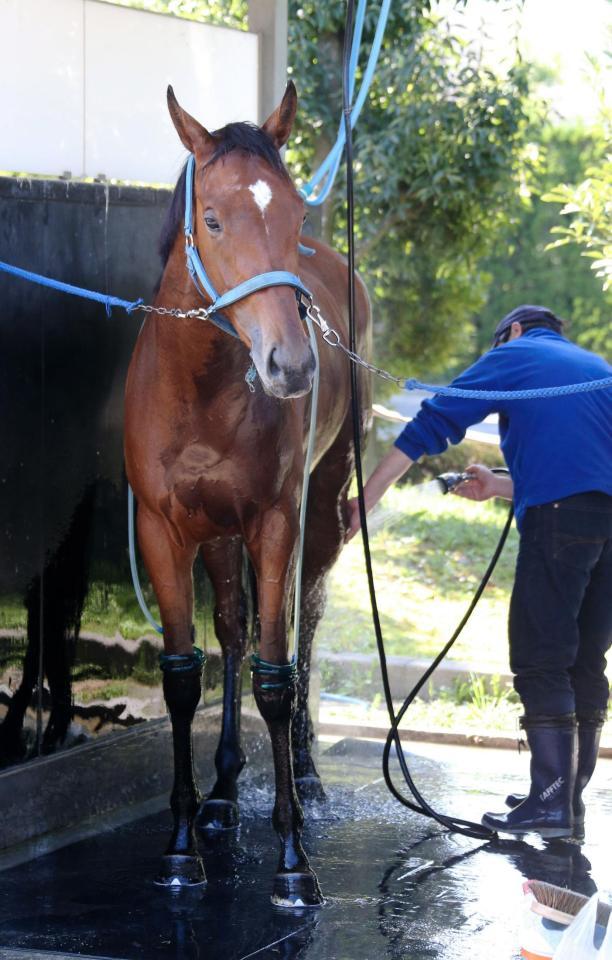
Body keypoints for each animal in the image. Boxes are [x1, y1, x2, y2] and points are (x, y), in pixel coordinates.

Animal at [123, 82, 370, 908]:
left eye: (295, 216)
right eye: (213, 219)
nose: (290, 365)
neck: (201, 392)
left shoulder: (274, 523)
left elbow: (276, 677)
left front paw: (294, 860)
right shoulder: (163, 530)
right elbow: (183, 674)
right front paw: (179, 846)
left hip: (321, 506)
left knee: (304, 620)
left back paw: (310, 776)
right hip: (219, 532)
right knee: (231, 632)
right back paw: (226, 795)